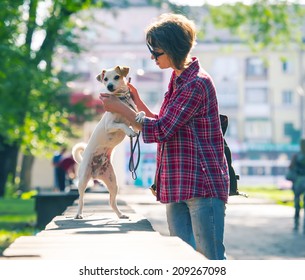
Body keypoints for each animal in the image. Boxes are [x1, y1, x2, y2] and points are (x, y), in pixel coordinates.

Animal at [73, 65, 145, 219]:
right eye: (105, 79)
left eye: (117, 77)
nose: (109, 86)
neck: (122, 100)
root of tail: (95, 174)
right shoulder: (110, 125)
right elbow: (122, 125)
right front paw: (129, 132)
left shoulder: (134, 122)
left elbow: (138, 114)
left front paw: (140, 116)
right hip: (83, 179)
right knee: (81, 199)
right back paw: (79, 214)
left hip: (112, 182)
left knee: (112, 202)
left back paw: (121, 214)